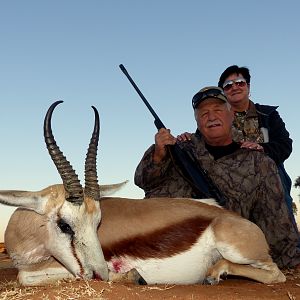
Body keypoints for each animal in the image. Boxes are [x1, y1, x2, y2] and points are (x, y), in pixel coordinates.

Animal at [0, 101, 286, 286]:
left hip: (240, 252)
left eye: (98, 223)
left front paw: (129, 276)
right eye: (64, 225)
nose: (100, 274)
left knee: (276, 273)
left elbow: (25, 277)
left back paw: (215, 274)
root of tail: (230, 217)